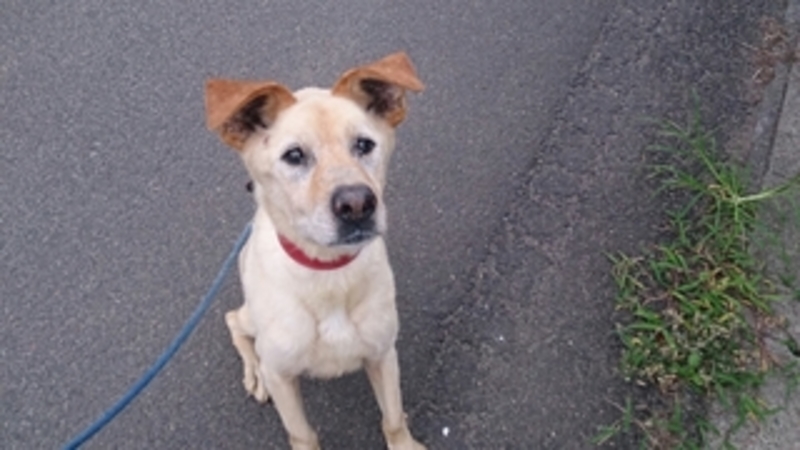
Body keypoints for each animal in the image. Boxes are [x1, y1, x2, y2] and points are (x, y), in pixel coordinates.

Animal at [204, 52, 425, 450]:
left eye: (364, 145)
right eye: (294, 155)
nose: (357, 204)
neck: (329, 275)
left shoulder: (384, 354)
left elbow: (393, 418)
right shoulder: (281, 376)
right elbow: (302, 434)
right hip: (251, 320)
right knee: (233, 321)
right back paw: (253, 371)